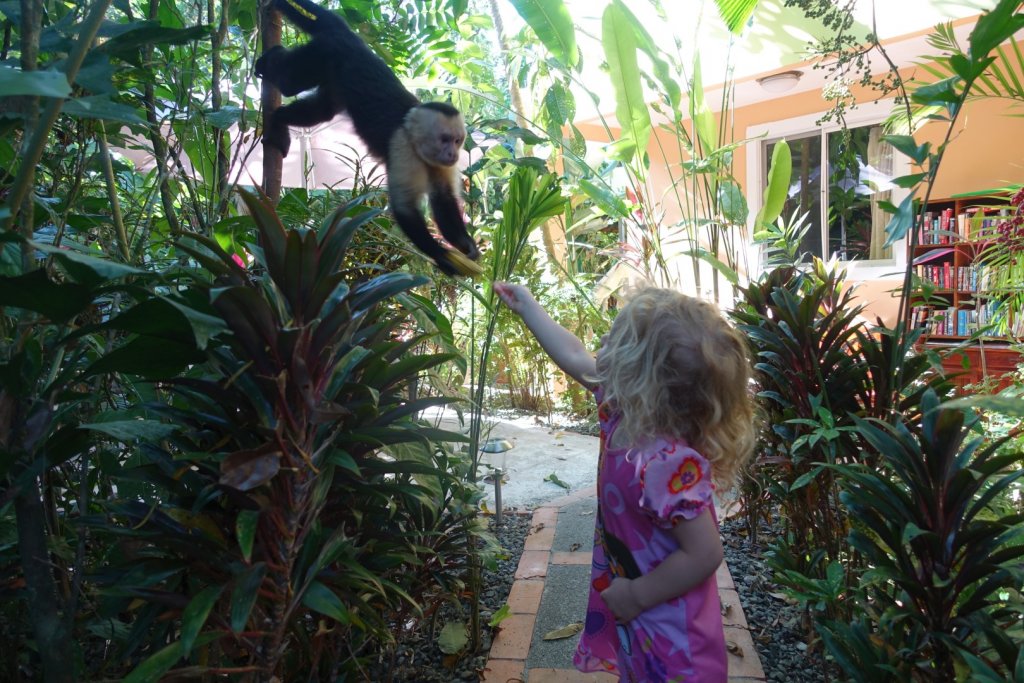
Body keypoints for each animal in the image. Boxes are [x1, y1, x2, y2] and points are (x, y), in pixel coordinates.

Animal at [253, 0, 481, 274]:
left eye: (457, 141)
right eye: (445, 139)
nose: (453, 154)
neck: (416, 144)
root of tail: (351, 39)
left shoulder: (439, 165)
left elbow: (444, 201)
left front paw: (466, 246)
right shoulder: (400, 146)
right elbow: (404, 209)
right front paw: (441, 256)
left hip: (333, 74)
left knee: (321, 110)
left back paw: (279, 117)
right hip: (322, 54)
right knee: (289, 83)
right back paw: (269, 62)